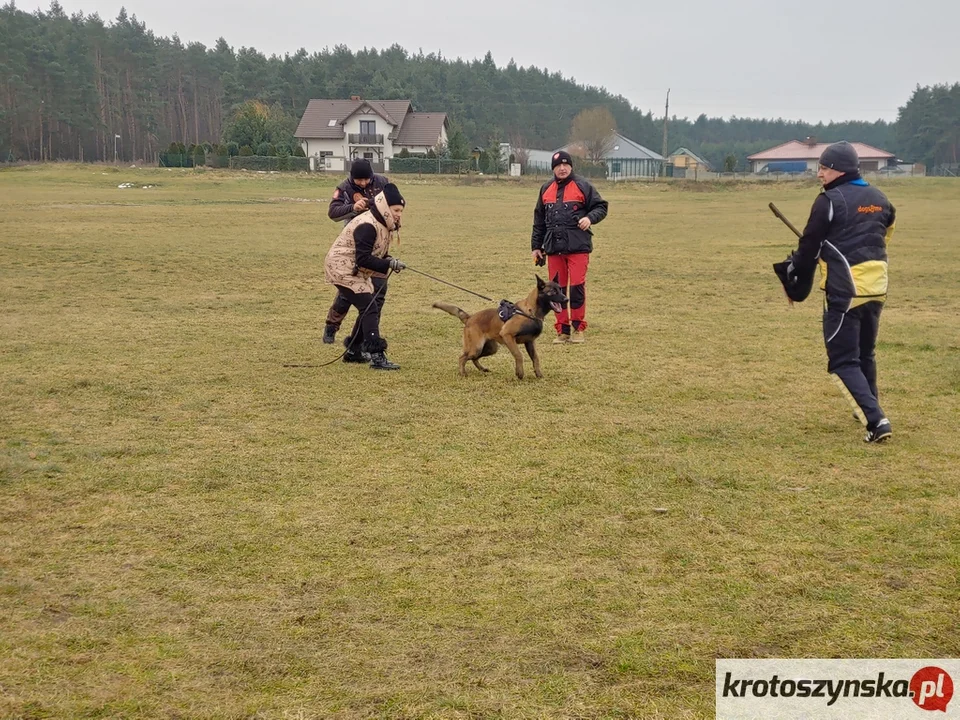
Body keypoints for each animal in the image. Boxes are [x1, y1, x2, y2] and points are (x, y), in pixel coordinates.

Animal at [434, 272, 568, 380]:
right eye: (553, 291)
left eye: (560, 289)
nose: (566, 299)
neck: (530, 312)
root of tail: (470, 317)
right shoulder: (507, 335)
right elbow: (519, 355)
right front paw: (519, 373)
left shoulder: (530, 342)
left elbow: (536, 358)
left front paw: (539, 375)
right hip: (476, 347)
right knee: (462, 357)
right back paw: (463, 373)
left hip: (490, 348)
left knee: (473, 358)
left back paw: (482, 369)